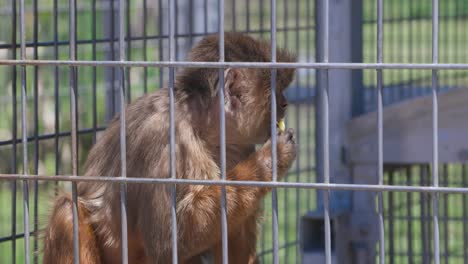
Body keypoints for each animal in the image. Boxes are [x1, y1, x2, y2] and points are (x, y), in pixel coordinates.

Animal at [42, 33, 294, 264]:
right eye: (276, 91)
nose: (285, 103)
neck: (199, 124)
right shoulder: (164, 136)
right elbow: (167, 241)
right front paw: (271, 159)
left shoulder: (239, 146)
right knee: (67, 211)